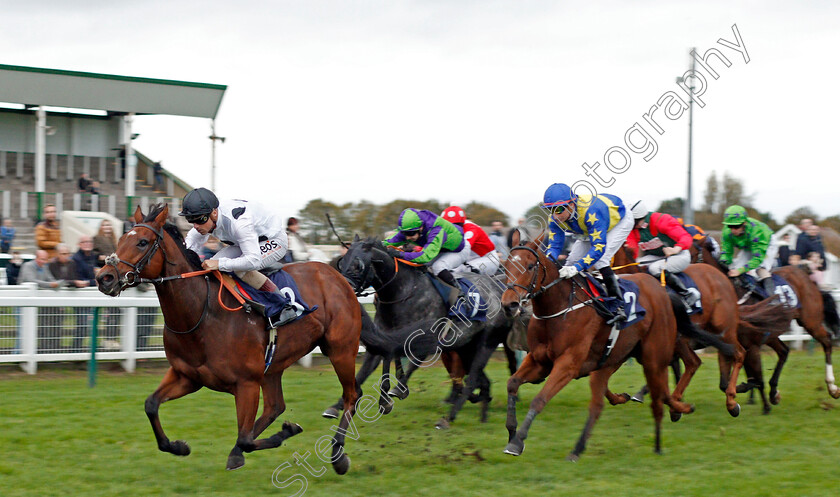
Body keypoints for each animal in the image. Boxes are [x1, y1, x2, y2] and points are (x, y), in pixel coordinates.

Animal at [95, 205, 360, 472]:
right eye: (120, 239)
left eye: (142, 242)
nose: (104, 278)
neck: (202, 314)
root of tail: (337, 275)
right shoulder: (186, 376)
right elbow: (151, 405)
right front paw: (179, 447)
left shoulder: (247, 383)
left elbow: (245, 439)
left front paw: (287, 431)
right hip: (273, 365)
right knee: (275, 407)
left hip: (341, 349)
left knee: (352, 396)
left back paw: (338, 454)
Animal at [326, 236, 512, 426]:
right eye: (342, 262)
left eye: (358, 266)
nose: (343, 289)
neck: (403, 291)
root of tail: (502, 289)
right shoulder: (380, 339)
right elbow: (365, 370)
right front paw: (337, 406)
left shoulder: (426, 337)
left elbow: (410, 363)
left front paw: (395, 392)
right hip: (466, 347)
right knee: (482, 380)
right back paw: (482, 415)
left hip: (486, 342)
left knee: (473, 378)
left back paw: (449, 417)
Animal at [502, 238, 692, 460]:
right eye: (506, 265)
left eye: (530, 266)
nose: (509, 304)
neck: (558, 307)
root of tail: (661, 289)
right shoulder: (540, 361)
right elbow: (512, 383)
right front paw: (512, 432)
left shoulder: (567, 364)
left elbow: (540, 399)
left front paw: (517, 442)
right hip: (614, 358)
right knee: (601, 404)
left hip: (654, 357)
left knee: (658, 396)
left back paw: (659, 443)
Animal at [692, 236, 836, 410]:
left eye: (690, 254)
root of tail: (808, 277)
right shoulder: (726, 344)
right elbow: (724, 383)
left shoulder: (752, 345)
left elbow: (753, 377)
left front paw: (753, 395)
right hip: (772, 332)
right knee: (784, 351)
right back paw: (774, 392)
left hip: (810, 321)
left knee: (826, 340)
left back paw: (832, 387)